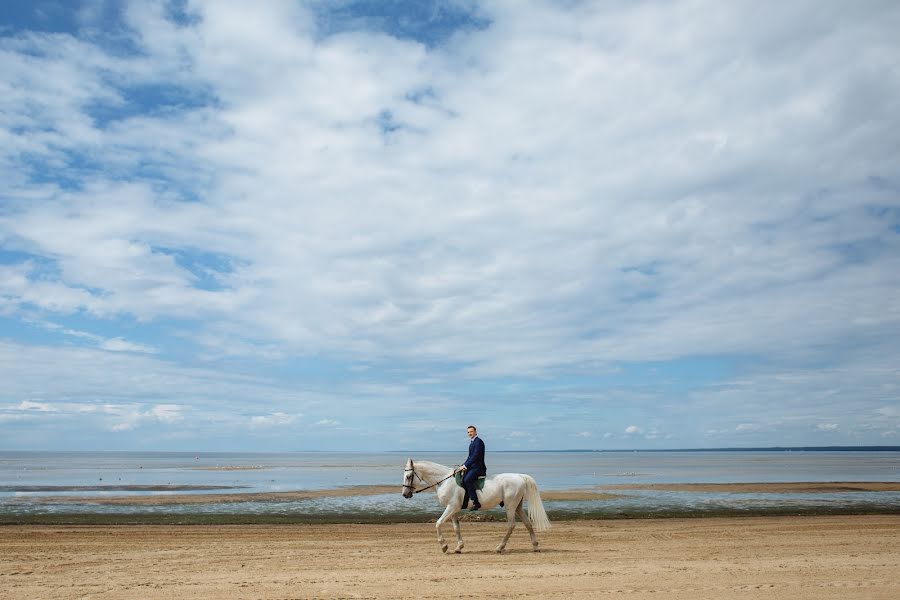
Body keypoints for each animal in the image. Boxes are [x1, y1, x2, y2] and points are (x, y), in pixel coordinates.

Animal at [400, 460, 548, 552]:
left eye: (408, 476)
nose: (405, 494)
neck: (444, 480)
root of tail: (520, 476)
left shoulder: (451, 507)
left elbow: (438, 523)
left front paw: (444, 546)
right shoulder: (453, 510)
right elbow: (456, 528)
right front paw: (459, 547)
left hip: (510, 507)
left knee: (511, 525)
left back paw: (500, 547)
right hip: (517, 506)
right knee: (527, 523)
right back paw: (535, 547)